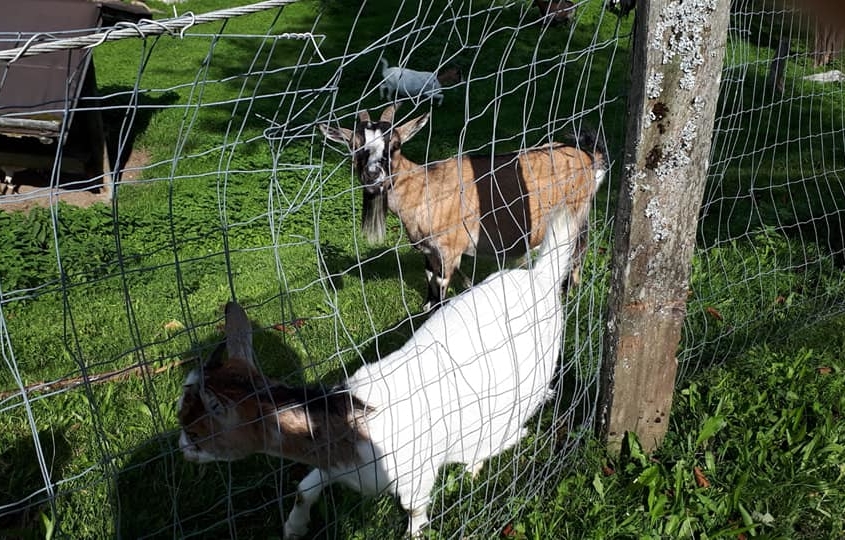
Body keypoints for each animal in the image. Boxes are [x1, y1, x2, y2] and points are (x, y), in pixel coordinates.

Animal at [175, 200, 592, 536]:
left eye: (196, 432)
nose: (181, 449)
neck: (354, 421)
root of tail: (540, 279)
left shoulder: (416, 475)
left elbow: (414, 509)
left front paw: (415, 534)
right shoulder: (336, 462)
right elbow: (304, 489)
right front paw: (294, 528)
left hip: (533, 376)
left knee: (525, 413)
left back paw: (480, 460)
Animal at [320, 105, 604, 310]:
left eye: (395, 145)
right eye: (354, 147)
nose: (372, 175)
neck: (424, 188)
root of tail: (588, 158)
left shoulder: (450, 250)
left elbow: (441, 283)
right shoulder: (429, 250)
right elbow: (429, 279)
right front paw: (426, 308)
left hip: (577, 213)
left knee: (578, 250)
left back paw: (569, 291)